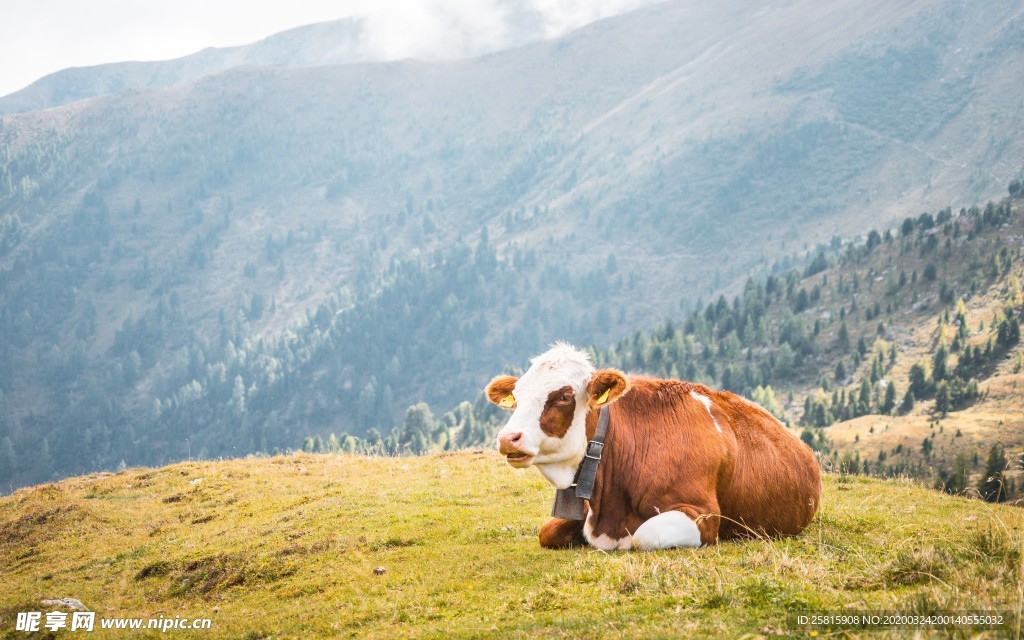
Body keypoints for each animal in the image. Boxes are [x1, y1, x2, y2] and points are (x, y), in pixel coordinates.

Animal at [483, 342, 819, 544]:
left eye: (564, 396)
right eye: (518, 395)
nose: (508, 438)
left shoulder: (705, 515)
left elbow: (642, 535)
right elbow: (547, 531)